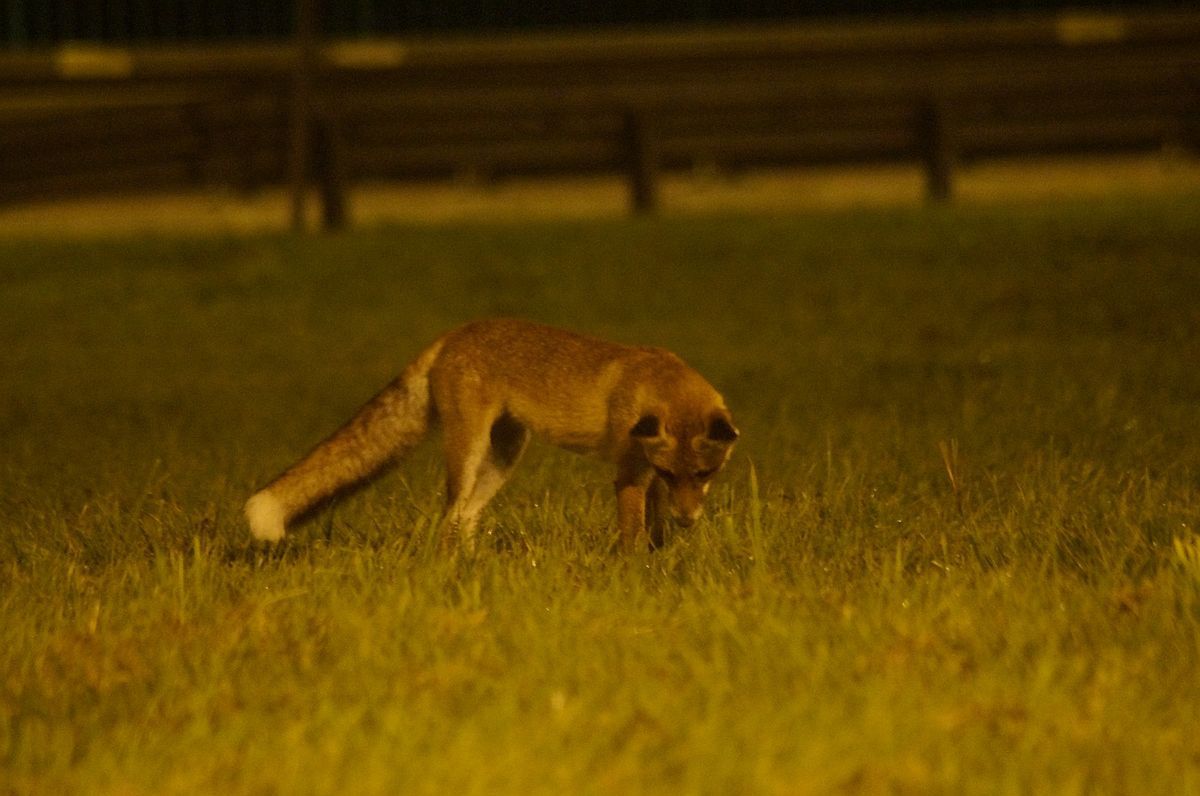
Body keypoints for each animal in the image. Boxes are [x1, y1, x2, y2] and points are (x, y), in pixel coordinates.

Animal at [243, 316, 734, 554]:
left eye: (704, 474)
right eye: (673, 475)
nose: (688, 521)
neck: (654, 382)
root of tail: (455, 333)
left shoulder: (646, 474)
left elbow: (654, 531)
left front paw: (661, 559)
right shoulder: (631, 473)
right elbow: (633, 534)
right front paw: (634, 572)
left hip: (503, 456)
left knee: (466, 518)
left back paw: (475, 564)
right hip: (469, 454)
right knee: (449, 517)